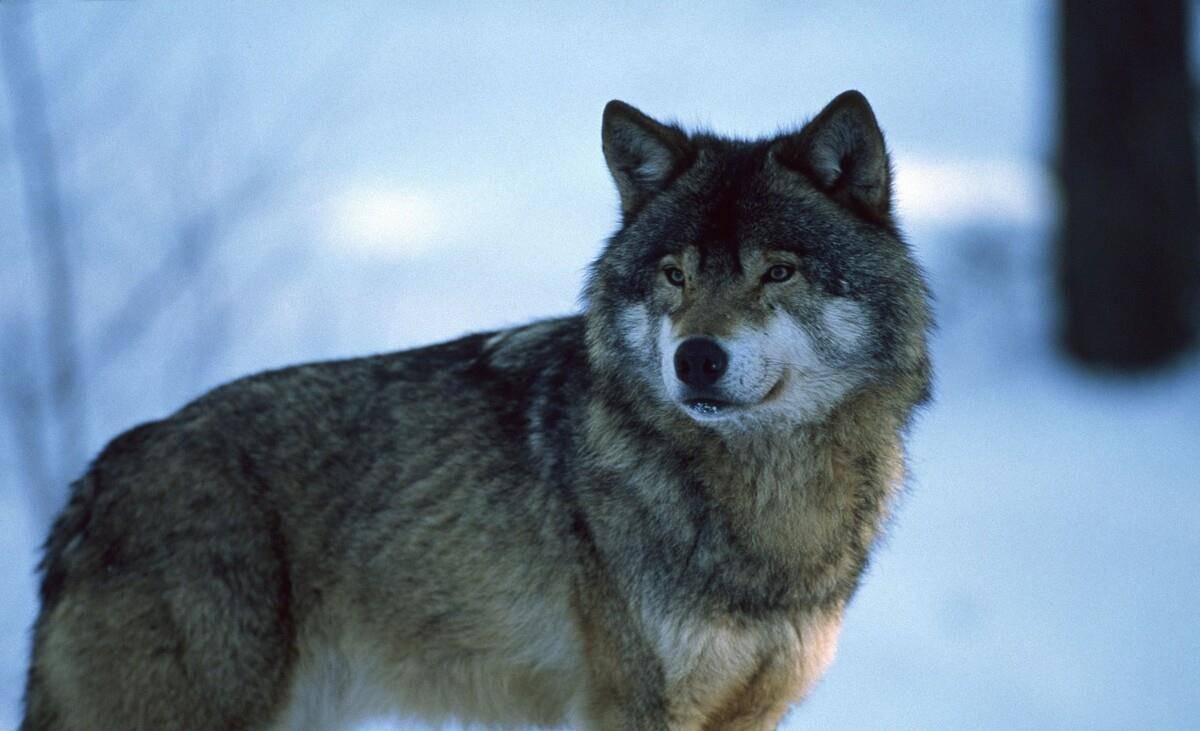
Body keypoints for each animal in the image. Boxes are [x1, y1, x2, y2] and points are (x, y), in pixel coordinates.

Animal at [23, 92, 931, 729]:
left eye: (778, 271)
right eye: (674, 274)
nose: (695, 358)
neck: (767, 506)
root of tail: (93, 481)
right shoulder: (633, 705)